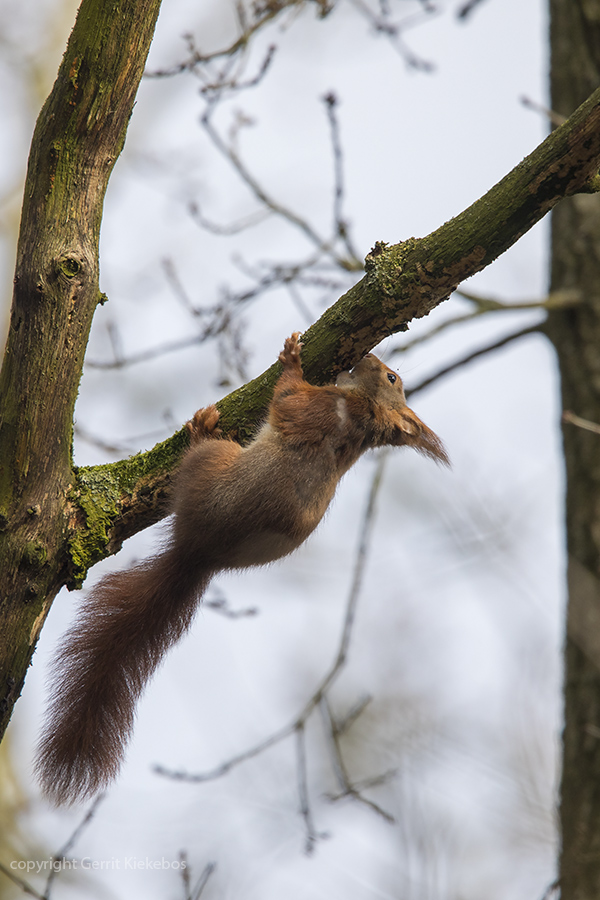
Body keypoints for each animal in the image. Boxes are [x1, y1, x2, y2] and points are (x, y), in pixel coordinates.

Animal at [35, 333, 449, 804]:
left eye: (391, 376)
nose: (369, 356)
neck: (364, 419)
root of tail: (197, 554)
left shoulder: (317, 405)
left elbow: (287, 398)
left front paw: (291, 358)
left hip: (215, 462)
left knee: (203, 452)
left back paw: (200, 430)